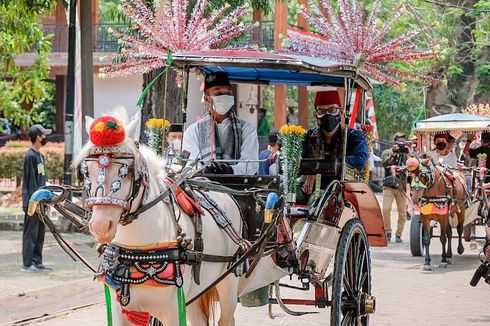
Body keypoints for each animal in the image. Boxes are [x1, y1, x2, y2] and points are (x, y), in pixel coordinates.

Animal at [76, 116, 251, 324]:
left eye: (126, 172)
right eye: (86, 171)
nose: (100, 226)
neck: (138, 251)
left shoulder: (174, 310)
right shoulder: (119, 309)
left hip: (228, 283)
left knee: (226, 317)